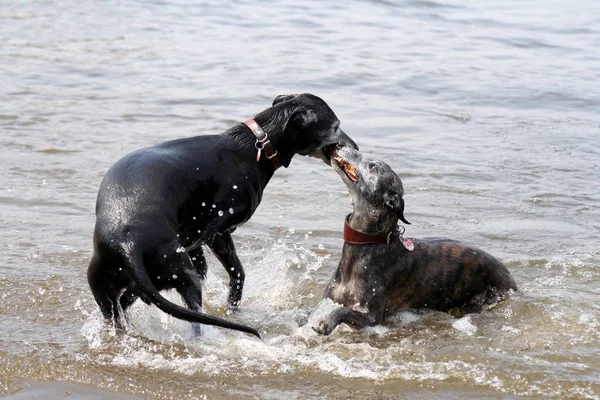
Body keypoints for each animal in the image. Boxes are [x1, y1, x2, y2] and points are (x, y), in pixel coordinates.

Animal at [88, 91, 356, 338]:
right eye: (336, 126)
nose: (355, 146)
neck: (256, 146)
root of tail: (127, 244)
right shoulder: (217, 231)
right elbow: (238, 273)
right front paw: (232, 307)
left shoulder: (192, 237)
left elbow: (205, 267)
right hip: (179, 275)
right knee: (188, 314)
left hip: (111, 288)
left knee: (122, 308)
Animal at [314, 147, 516, 334]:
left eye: (373, 166)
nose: (339, 145)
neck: (370, 242)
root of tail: (509, 277)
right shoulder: (330, 298)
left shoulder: (372, 317)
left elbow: (345, 312)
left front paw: (326, 322)